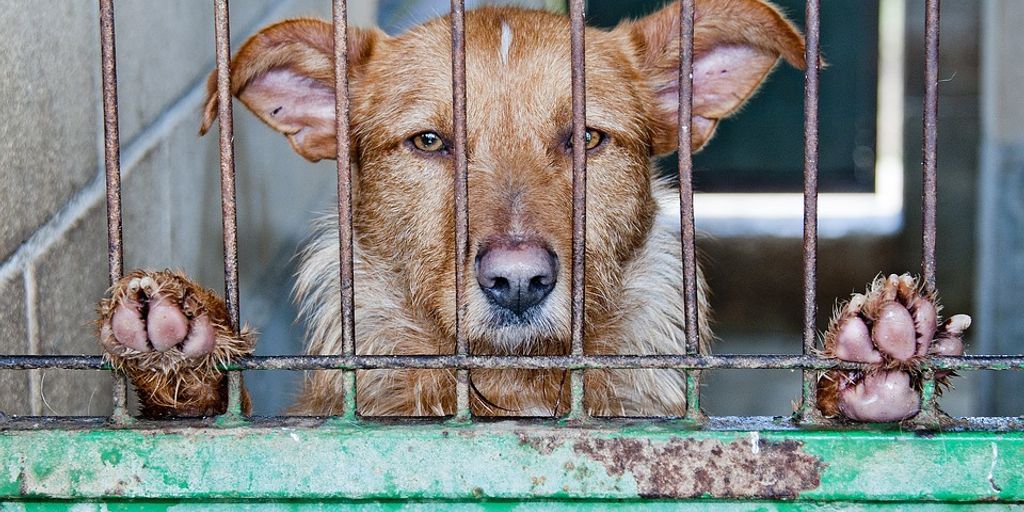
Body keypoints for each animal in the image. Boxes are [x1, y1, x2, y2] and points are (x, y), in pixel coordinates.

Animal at [96, 0, 966, 421]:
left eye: (587, 138)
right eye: (429, 141)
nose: (517, 283)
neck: (514, 391)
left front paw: (870, 371)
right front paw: (179, 356)